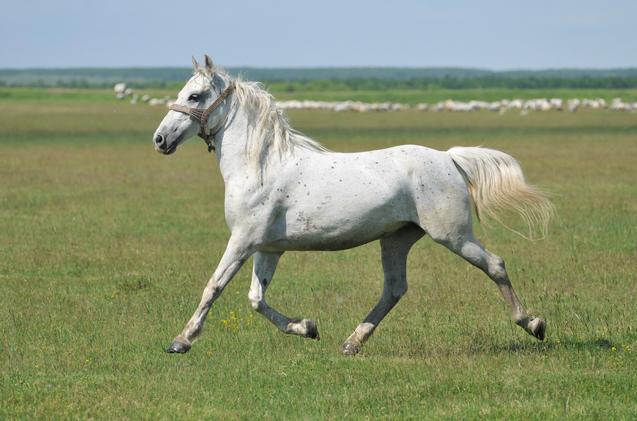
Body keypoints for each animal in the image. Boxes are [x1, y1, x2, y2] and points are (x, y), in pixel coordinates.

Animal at [152, 54, 548, 352]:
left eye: (195, 96)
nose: (159, 139)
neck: (261, 166)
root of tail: (448, 158)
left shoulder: (243, 241)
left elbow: (214, 286)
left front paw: (181, 340)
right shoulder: (267, 247)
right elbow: (256, 299)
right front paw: (307, 327)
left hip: (453, 235)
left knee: (495, 265)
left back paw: (534, 323)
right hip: (397, 239)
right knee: (394, 289)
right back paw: (352, 342)